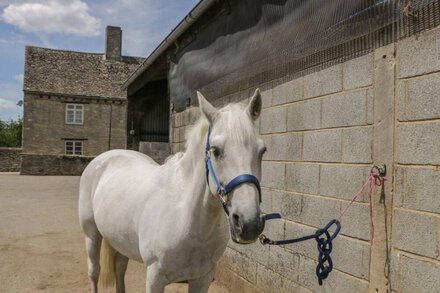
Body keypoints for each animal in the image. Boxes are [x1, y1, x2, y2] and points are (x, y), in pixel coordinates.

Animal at [78, 89, 264, 292]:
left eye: (262, 150)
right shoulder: (155, 278)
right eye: (215, 151)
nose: (249, 224)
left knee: (120, 267)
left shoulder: (203, 278)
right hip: (91, 234)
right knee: (94, 271)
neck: (187, 218)